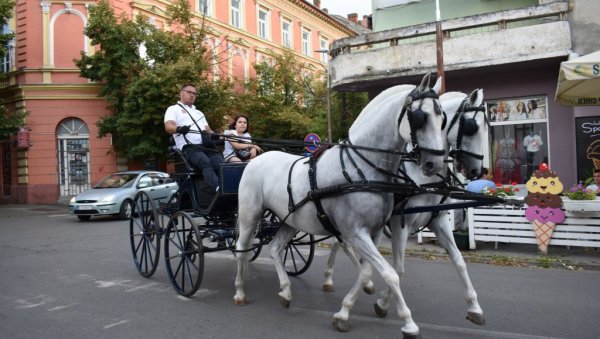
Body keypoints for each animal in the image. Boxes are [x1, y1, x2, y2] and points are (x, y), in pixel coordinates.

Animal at [233, 73, 446, 336]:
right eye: (420, 117)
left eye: (442, 119)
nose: (434, 164)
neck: (362, 170)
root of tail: (258, 157)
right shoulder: (355, 233)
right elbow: (389, 274)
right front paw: (408, 322)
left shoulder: (373, 232)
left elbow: (367, 271)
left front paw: (345, 311)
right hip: (250, 215)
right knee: (242, 249)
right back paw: (239, 291)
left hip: (290, 220)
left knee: (274, 248)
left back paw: (285, 291)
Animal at [324, 89, 488, 328]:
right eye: (471, 127)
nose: (478, 170)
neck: (421, 177)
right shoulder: (400, 224)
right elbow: (399, 269)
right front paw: (383, 304)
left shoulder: (439, 222)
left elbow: (459, 261)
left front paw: (475, 307)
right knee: (341, 244)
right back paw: (331, 278)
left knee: (344, 245)